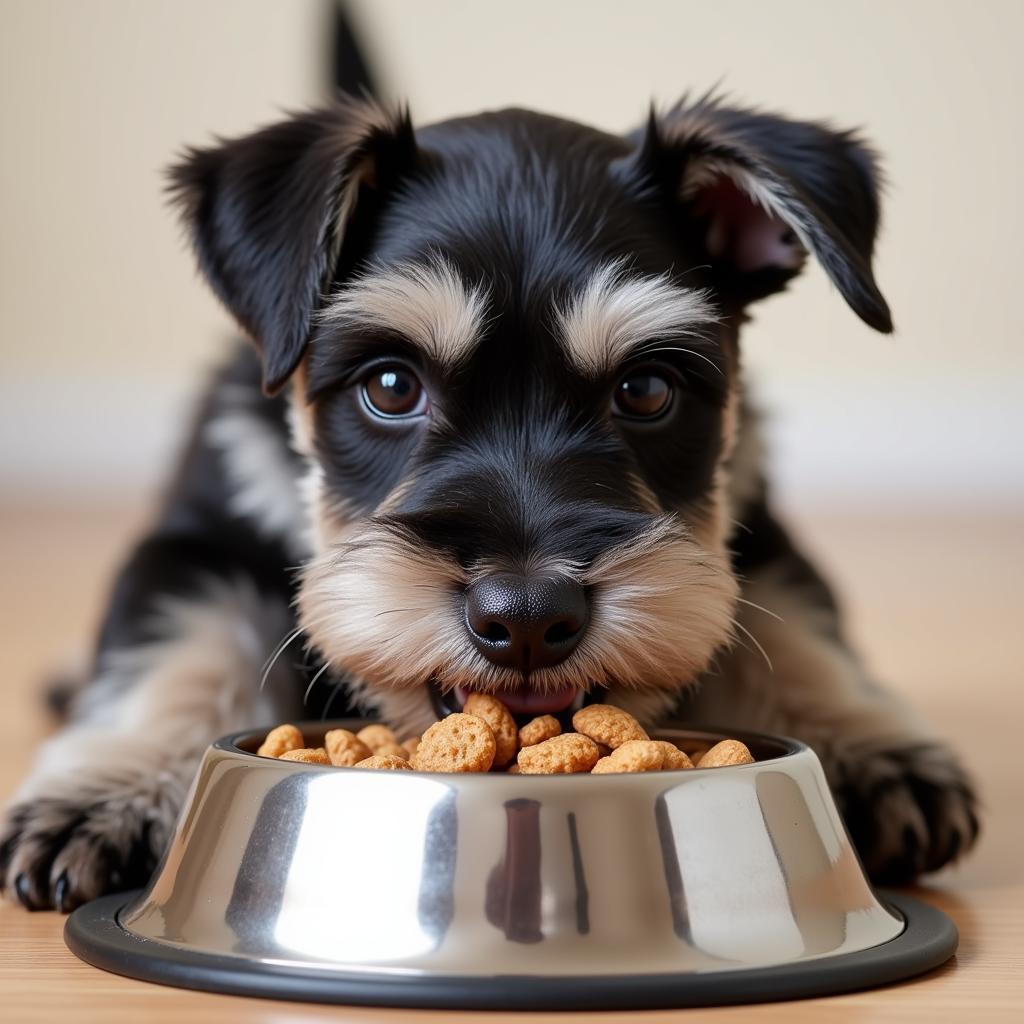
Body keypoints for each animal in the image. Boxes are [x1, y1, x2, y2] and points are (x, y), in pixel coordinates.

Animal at [0, 96, 978, 913]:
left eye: (648, 390)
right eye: (390, 384)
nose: (529, 617)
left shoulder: (759, 532)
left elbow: (796, 627)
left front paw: (872, 750)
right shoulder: (194, 539)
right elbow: (178, 648)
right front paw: (108, 795)